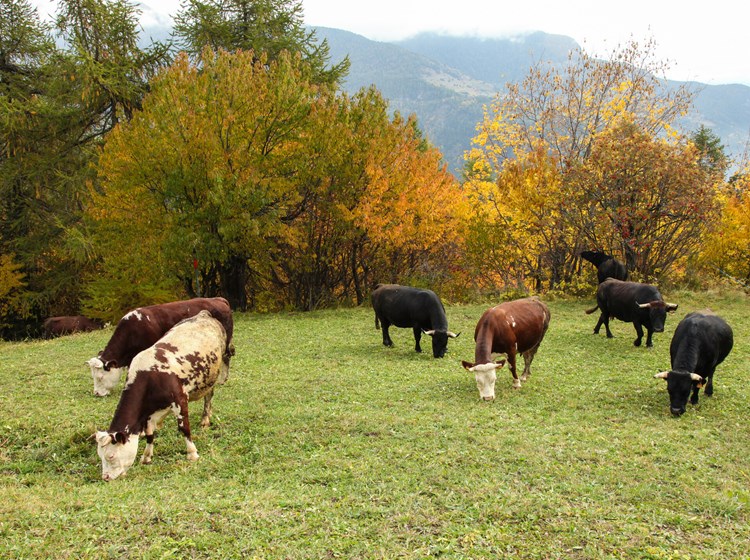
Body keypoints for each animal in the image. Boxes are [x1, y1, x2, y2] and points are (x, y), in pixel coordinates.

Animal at [87, 297, 233, 397]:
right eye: (93, 377)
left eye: (100, 377)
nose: (97, 393)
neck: (134, 329)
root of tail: (218, 299)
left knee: (226, 357)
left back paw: (222, 380)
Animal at [95, 310, 231, 481]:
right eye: (100, 456)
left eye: (111, 456)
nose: (105, 477)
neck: (149, 376)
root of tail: (203, 314)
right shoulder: (147, 413)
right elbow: (149, 434)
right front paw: (146, 456)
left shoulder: (180, 400)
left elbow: (184, 428)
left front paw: (192, 453)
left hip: (212, 376)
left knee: (208, 398)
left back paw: (205, 419)